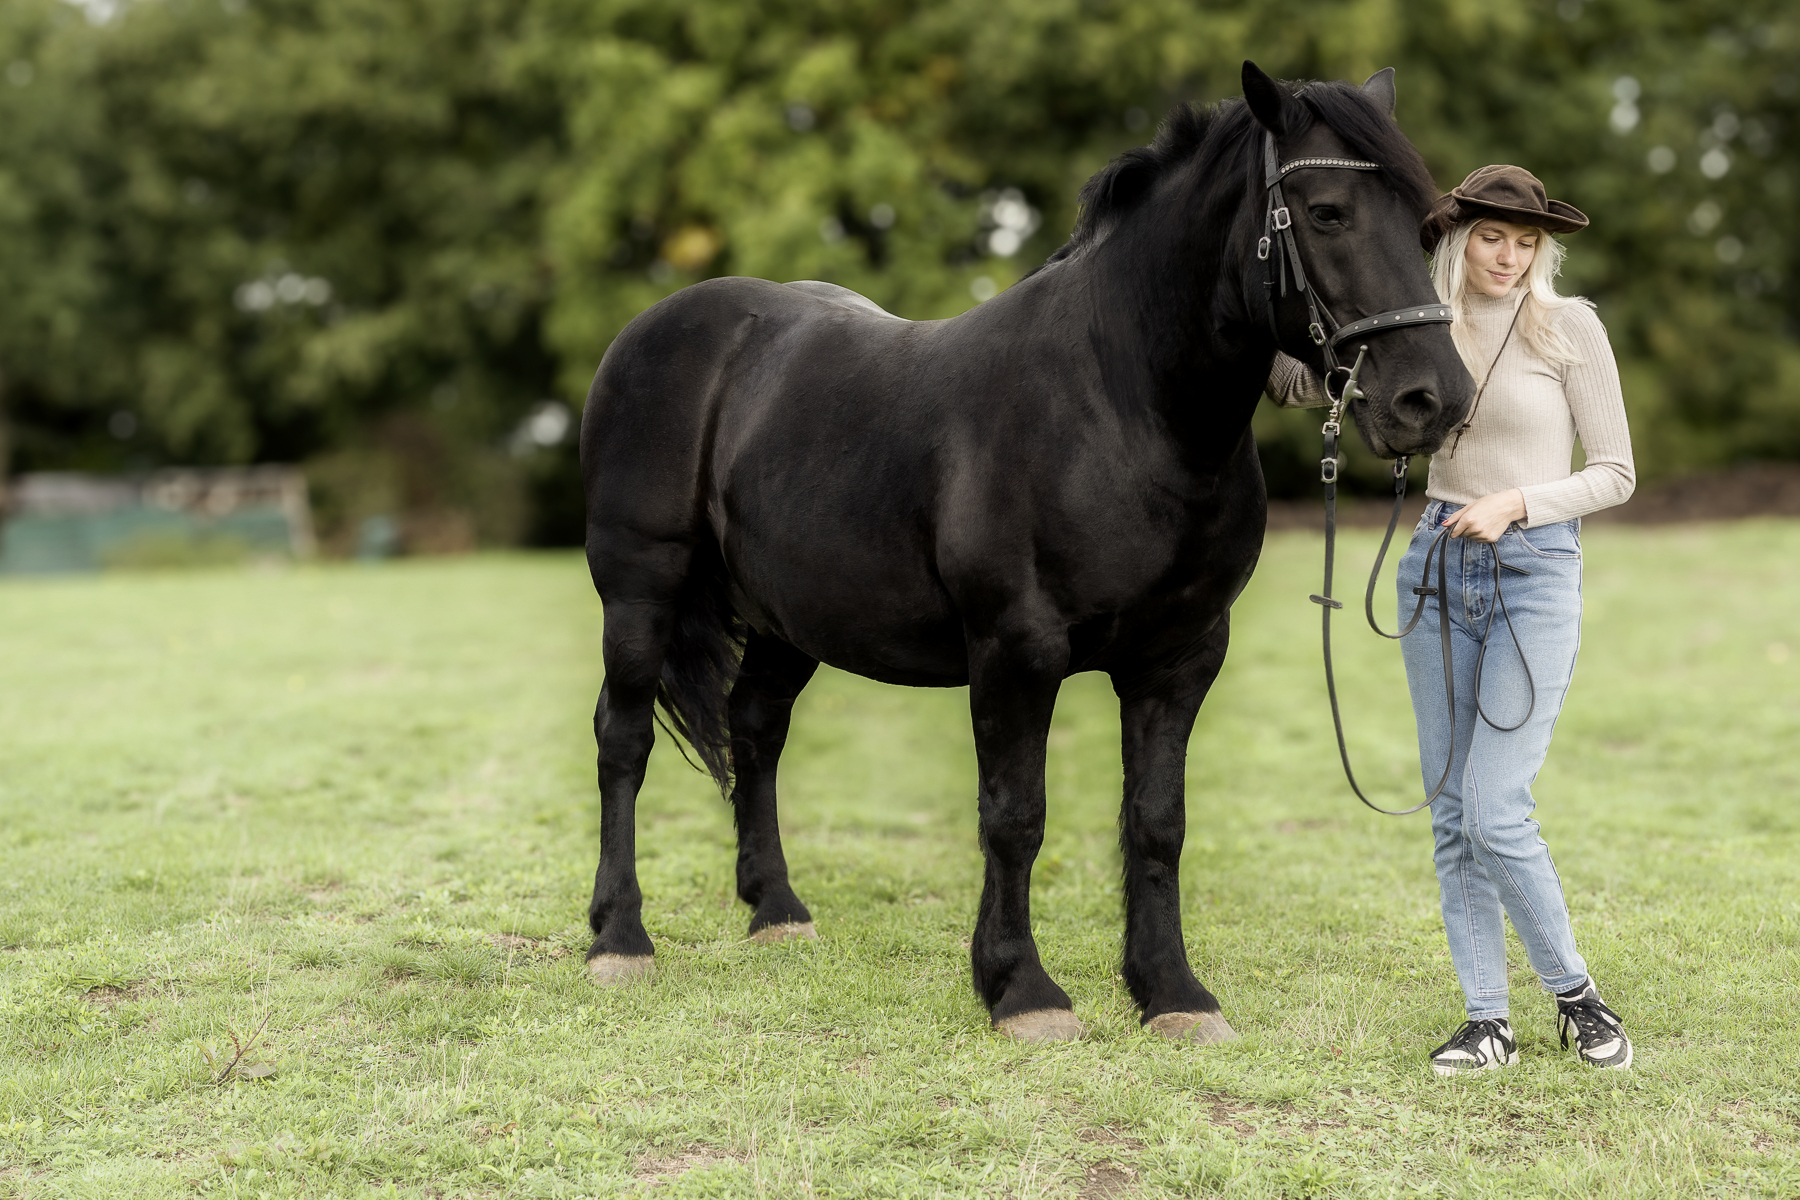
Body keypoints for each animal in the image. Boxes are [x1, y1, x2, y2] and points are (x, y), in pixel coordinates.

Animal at [577, 62, 1474, 1043]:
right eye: (1325, 212)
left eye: (1424, 225)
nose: (1435, 400)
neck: (1119, 406)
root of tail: (662, 326)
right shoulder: (1017, 652)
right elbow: (1015, 817)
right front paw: (1022, 989)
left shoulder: (1180, 659)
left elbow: (1156, 822)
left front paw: (1173, 993)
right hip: (641, 592)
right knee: (623, 739)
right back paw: (618, 938)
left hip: (789, 620)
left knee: (754, 730)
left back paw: (776, 911)